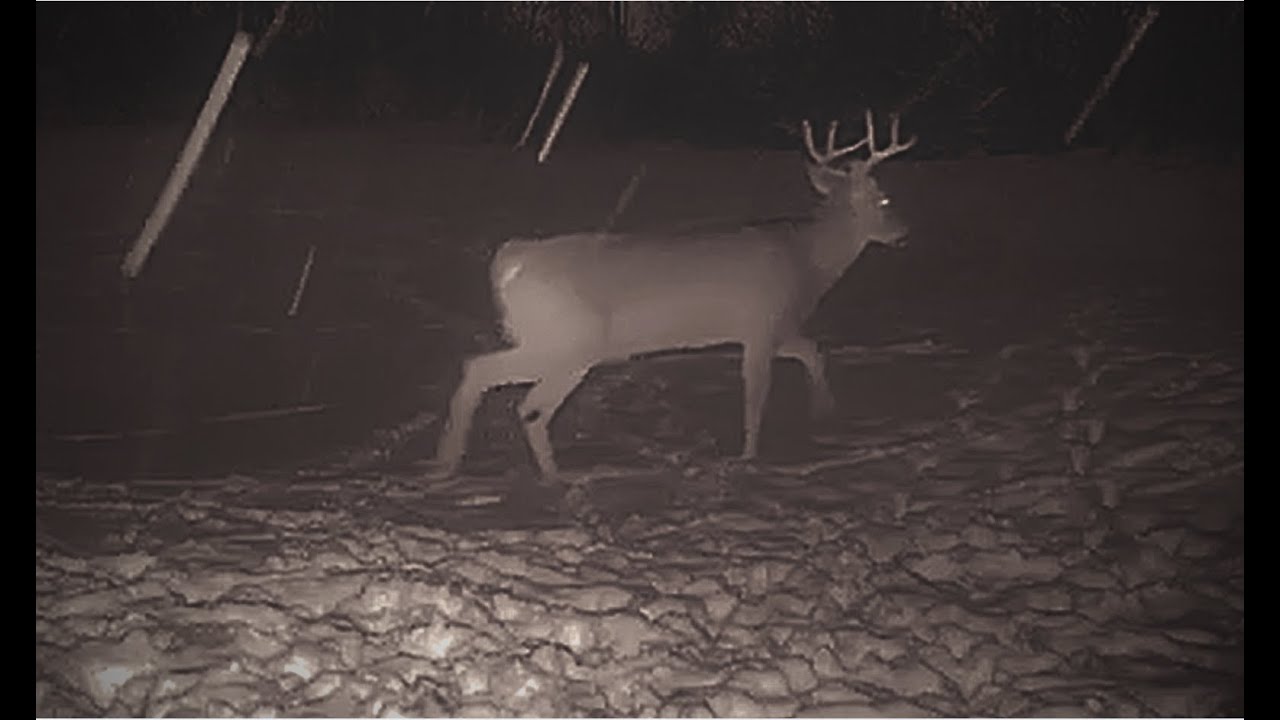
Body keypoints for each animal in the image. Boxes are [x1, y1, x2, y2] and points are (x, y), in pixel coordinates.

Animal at [433, 110, 917, 479]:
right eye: (884, 200)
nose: (903, 233)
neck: (807, 263)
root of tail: (511, 261)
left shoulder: (772, 328)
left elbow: (813, 352)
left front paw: (826, 414)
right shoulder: (761, 324)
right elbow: (756, 394)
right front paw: (750, 457)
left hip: (548, 341)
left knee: (484, 375)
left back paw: (448, 463)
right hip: (570, 342)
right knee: (520, 400)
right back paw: (549, 476)